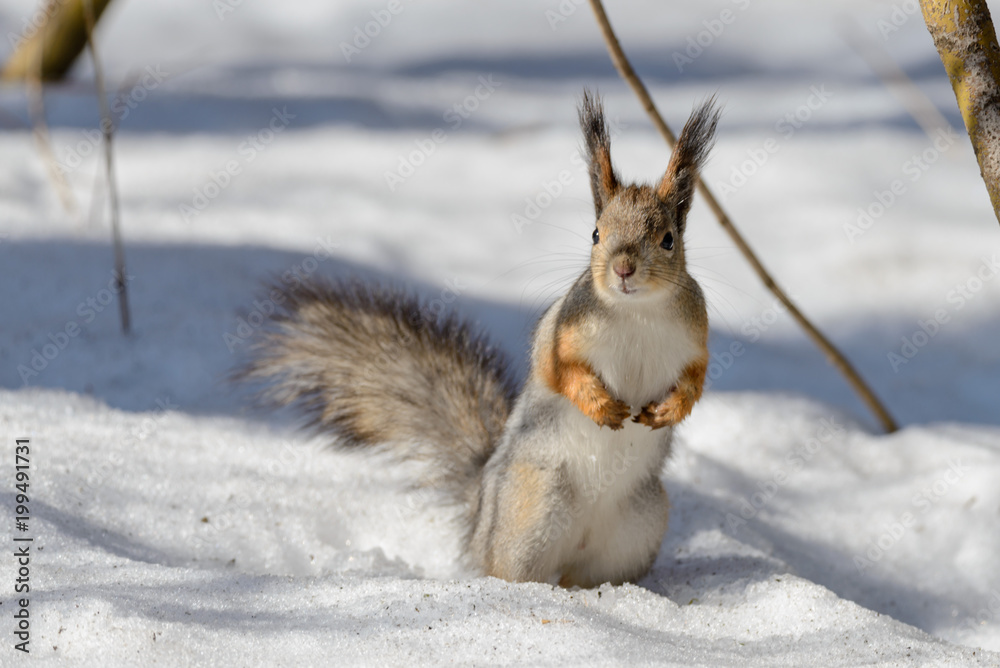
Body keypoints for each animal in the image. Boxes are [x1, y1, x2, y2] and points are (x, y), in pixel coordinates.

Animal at [241, 90, 717, 588]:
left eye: (668, 240)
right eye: (595, 233)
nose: (623, 269)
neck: (635, 311)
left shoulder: (696, 339)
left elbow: (695, 380)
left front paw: (670, 410)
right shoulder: (561, 333)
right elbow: (558, 372)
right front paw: (600, 404)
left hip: (639, 526)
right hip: (531, 508)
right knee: (509, 567)